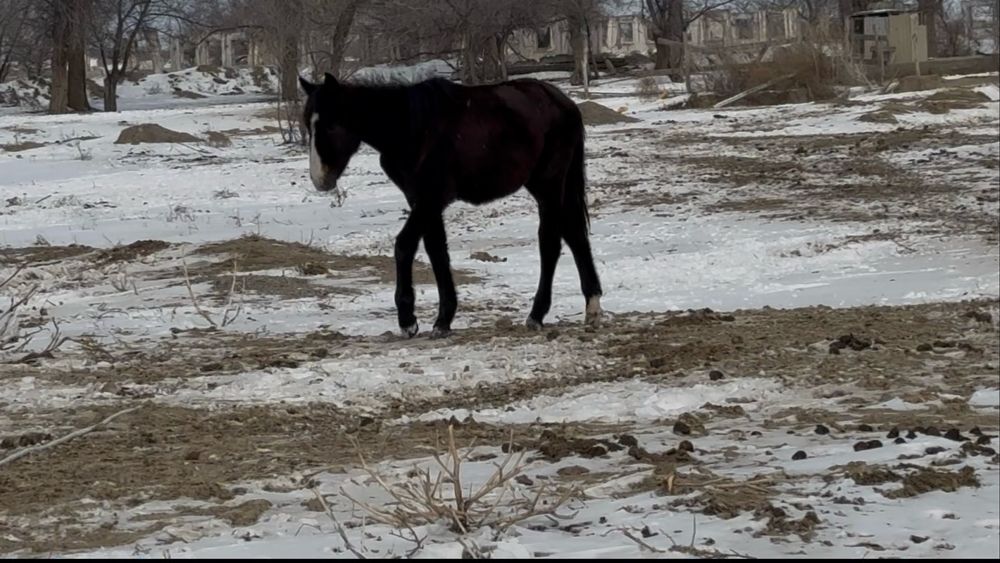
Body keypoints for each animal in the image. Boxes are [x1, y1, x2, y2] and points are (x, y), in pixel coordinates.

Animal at [298, 72, 603, 338]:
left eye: (331, 125)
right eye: (307, 124)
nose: (320, 179)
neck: (411, 127)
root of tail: (563, 102)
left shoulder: (431, 199)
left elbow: (404, 245)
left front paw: (408, 320)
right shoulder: (423, 202)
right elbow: (436, 251)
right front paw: (444, 319)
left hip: (548, 185)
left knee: (550, 242)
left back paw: (537, 315)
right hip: (549, 188)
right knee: (574, 235)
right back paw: (592, 305)